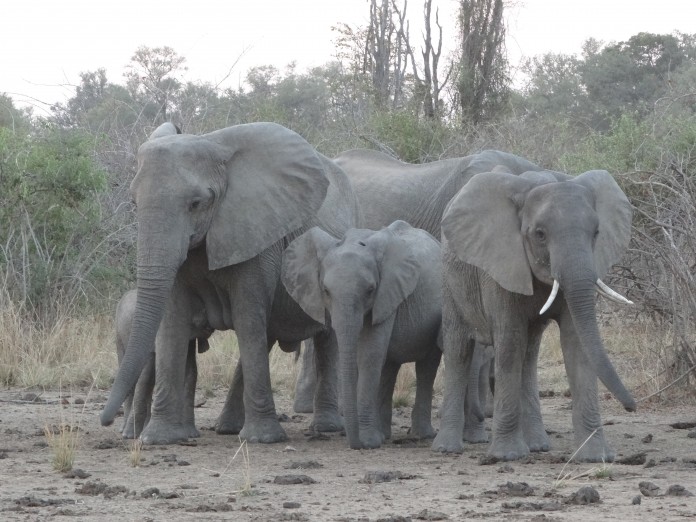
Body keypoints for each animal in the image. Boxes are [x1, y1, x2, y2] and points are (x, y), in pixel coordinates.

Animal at [114, 286, 213, 436]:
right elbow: (146, 375)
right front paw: (131, 435)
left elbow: (190, 370)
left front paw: (190, 434)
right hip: (119, 334)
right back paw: (124, 430)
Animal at [282, 219, 440, 446]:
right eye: (325, 290)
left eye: (370, 290)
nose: (355, 443)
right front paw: (370, 439)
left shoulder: (387, 295)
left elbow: (369, 354)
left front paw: (368, 441)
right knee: (389, 367)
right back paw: (384, 434)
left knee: (426, 367)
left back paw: (421, 435)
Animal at [432, 168, 640, 460]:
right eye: (540, 234)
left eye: (597, 232)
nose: (632, 407)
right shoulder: (500, 267)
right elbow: (509, 343)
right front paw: (507, 456)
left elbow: (576, 345)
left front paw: (594, 456)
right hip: (450, 280)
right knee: (459, 348)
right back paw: (446, 448)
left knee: (529, 355)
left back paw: (538, 446)